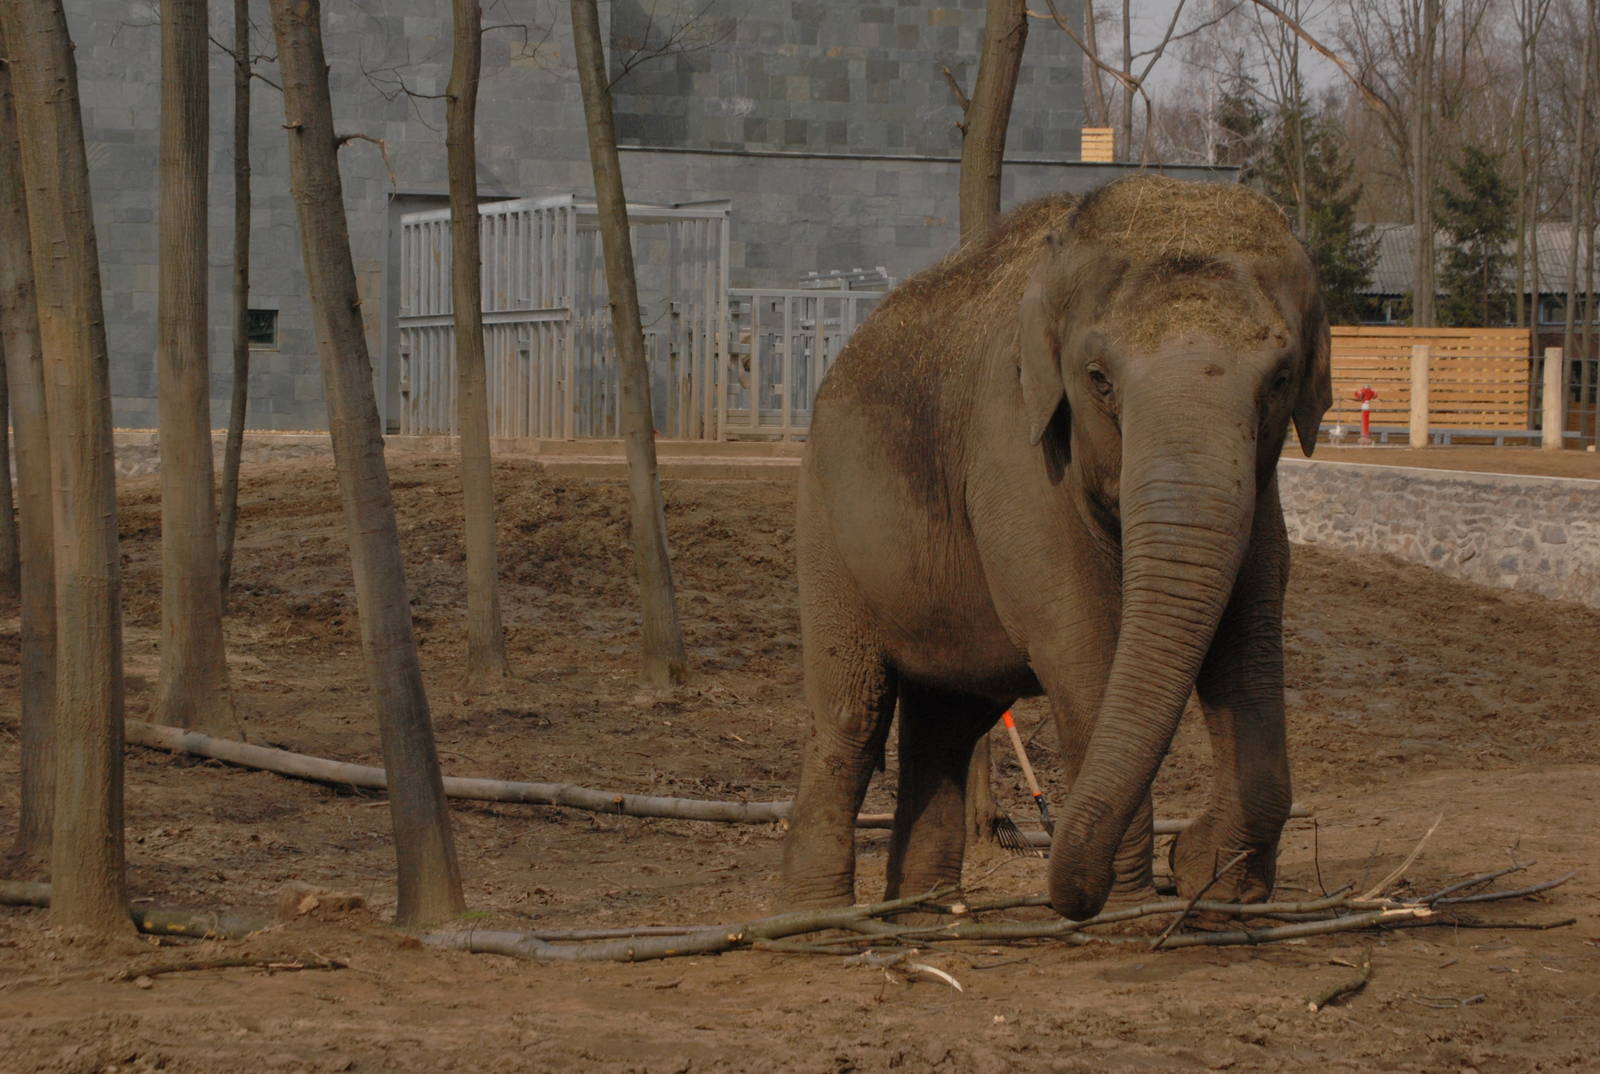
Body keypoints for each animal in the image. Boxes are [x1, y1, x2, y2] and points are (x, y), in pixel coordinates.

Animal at [779, 175, 1332, 922]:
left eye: (1279, 379)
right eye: (1098, 378)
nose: (1178, 859)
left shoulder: (1259, 488)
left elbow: (1247, 635)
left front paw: (1220, 885)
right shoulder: (1014, 450)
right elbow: (1082, 640)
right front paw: (1128, 908)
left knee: (947, 718)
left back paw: (927, 912)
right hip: (827, 520)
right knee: (852, 713)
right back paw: (818, 917)